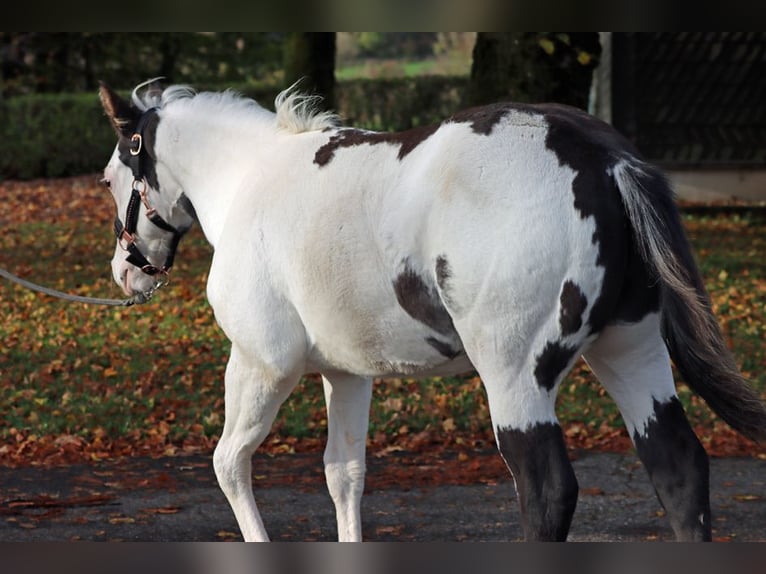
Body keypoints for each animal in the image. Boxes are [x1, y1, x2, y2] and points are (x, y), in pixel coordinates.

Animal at [98, 78, 766, 542]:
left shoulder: (261, 364)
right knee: (678, 470)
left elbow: (230, 464)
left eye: (110, 177)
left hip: (515, 379)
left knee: (547, 490)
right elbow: (344, 475)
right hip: (631, 353)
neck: (249, 179)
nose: (127, 272)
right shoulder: (346, 374)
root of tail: (604, 158)